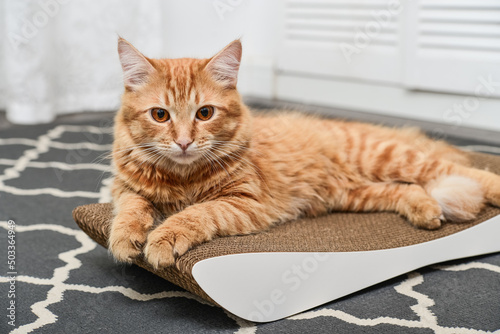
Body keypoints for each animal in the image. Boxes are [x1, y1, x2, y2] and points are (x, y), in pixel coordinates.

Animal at [109, 37, 500, 268]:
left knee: (459, 171)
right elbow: (131, 208)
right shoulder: (124, 188)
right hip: (355, 194)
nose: (184, 142)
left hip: (389, 158)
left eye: (204, 113)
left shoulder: (245, 202)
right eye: (160, 115)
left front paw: (163, 238)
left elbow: (195, 214)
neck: (182, 177)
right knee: (409, 190)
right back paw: (426, 211)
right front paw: (126, 238)